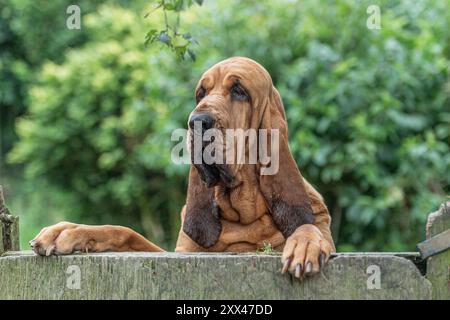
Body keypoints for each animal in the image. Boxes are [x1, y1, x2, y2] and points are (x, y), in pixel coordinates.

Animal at [29, 57, 334, 278]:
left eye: (239, 91)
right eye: (201, 92)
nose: (197, 121)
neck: (241, 213)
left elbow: (307, 227)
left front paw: (305, 243)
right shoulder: (177, 252)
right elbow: (124, 232)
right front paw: (69, 231)